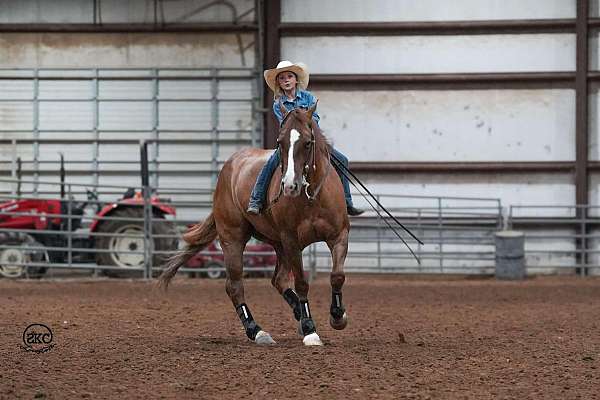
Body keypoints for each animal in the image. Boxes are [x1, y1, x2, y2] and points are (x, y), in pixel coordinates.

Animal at [157, 104, 350, 346]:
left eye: (307, 142)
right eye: (280, 142)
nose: (290, 186)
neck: (312, 197)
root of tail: (229, 167)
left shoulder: (339, 235)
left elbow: (337, 275)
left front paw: (338, 316)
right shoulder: (292, 241)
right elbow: (301, 283)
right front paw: (310, 330)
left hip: (278, 244)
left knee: (278, 280)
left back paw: (295, 315)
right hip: (233, 238)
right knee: (234, 285)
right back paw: (257, 331)